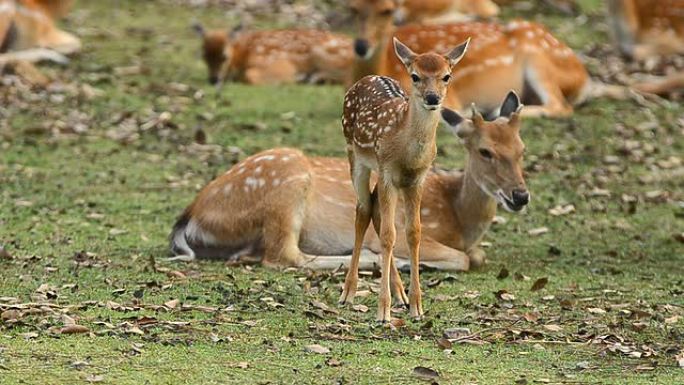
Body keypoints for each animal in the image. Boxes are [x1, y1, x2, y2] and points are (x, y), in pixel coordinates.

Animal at [350, 0, 592, 117]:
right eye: (353, 8)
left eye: (387, 10)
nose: (361, 46)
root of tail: (583, 76)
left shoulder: (450, 97)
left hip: (538, 60)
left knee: (560, 106)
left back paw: (494, 112)